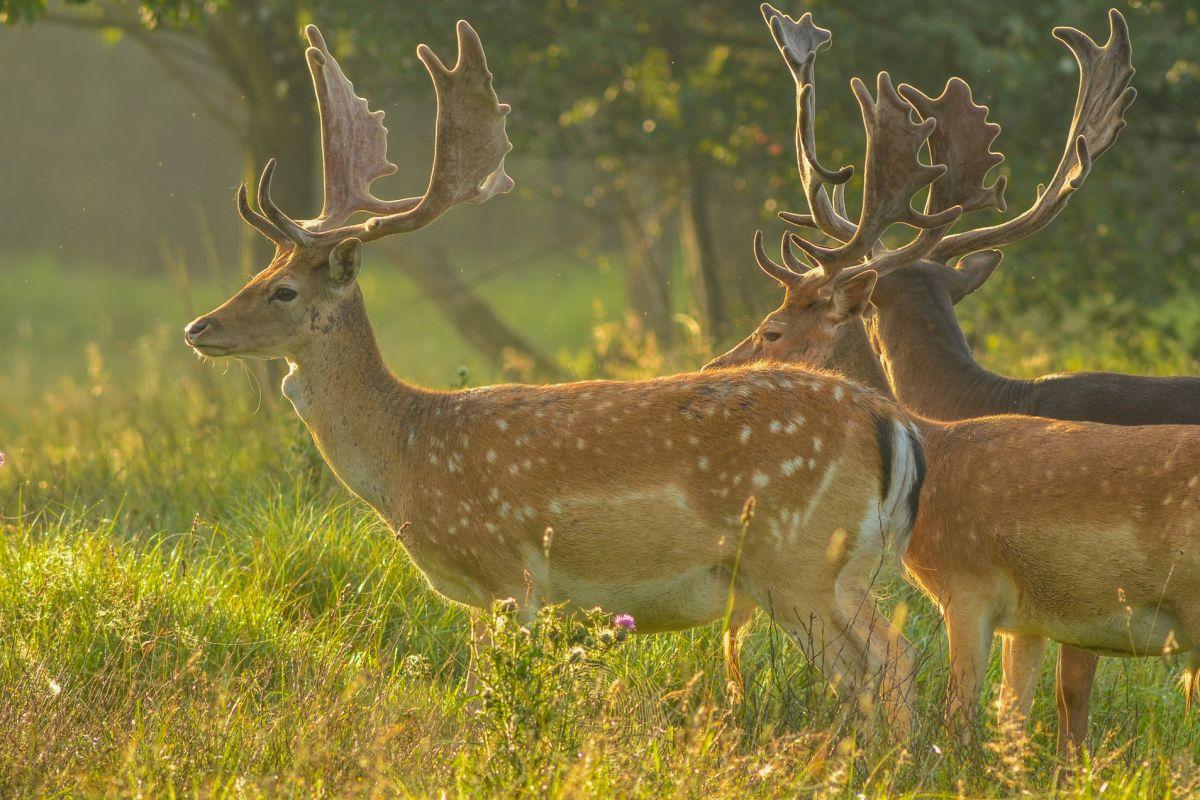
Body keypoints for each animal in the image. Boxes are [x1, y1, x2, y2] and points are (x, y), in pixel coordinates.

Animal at [180, 18, 926, 734]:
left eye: (284, 291)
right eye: (261, 272)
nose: (199, 328)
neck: (406, 453)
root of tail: (891, 421)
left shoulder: (507, 575)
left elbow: (484, 699)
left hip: (797, 561)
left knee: (886, 661)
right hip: (842, 570)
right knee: (883, 664)